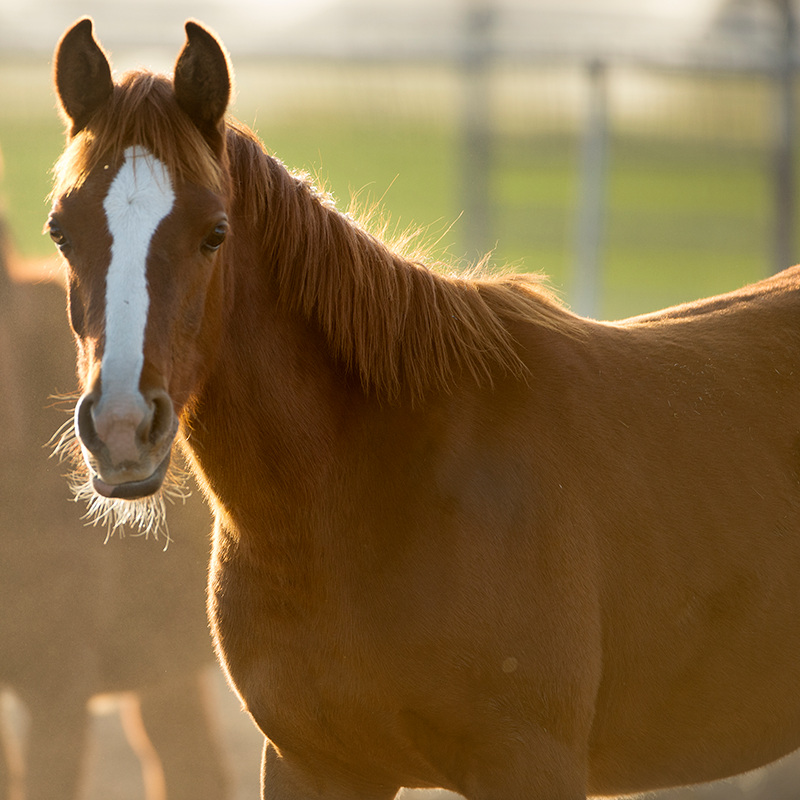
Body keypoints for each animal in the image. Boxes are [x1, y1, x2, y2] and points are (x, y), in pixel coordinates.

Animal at [48, 17, 800, 800]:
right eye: (60, 232)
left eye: (214, 232)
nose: (123, 429)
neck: (368, 496)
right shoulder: (310, 765)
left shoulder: (527, 764)